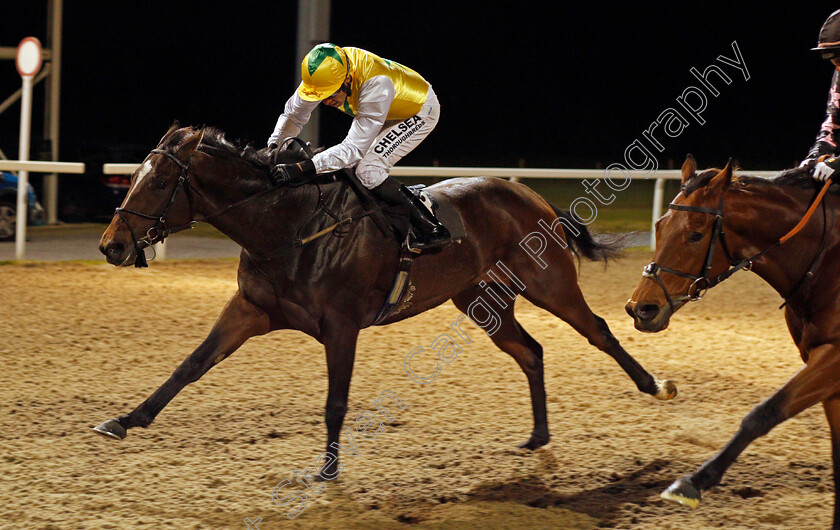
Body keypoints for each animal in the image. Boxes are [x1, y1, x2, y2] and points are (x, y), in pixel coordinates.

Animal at [97, 125, 676, 478]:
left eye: (162, 180)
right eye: (134, 177)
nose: (112, 245)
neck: (289, 225)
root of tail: (532, 196)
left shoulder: (341, 325)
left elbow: (335, 402)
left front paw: (327, 470)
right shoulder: (251, 309)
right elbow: (191, 365)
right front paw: (126, 419)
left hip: (549, 282)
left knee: (598, 329)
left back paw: (654, 385)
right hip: (480, 300)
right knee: (530, 352)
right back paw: (537, 435)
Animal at [628, 155, 840, 520]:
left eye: (696, 235)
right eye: (659, 226)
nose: (641, 309)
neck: (827, 261)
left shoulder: (834, 357)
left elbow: (765, 412)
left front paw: (693, 482)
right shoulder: (821, 362)